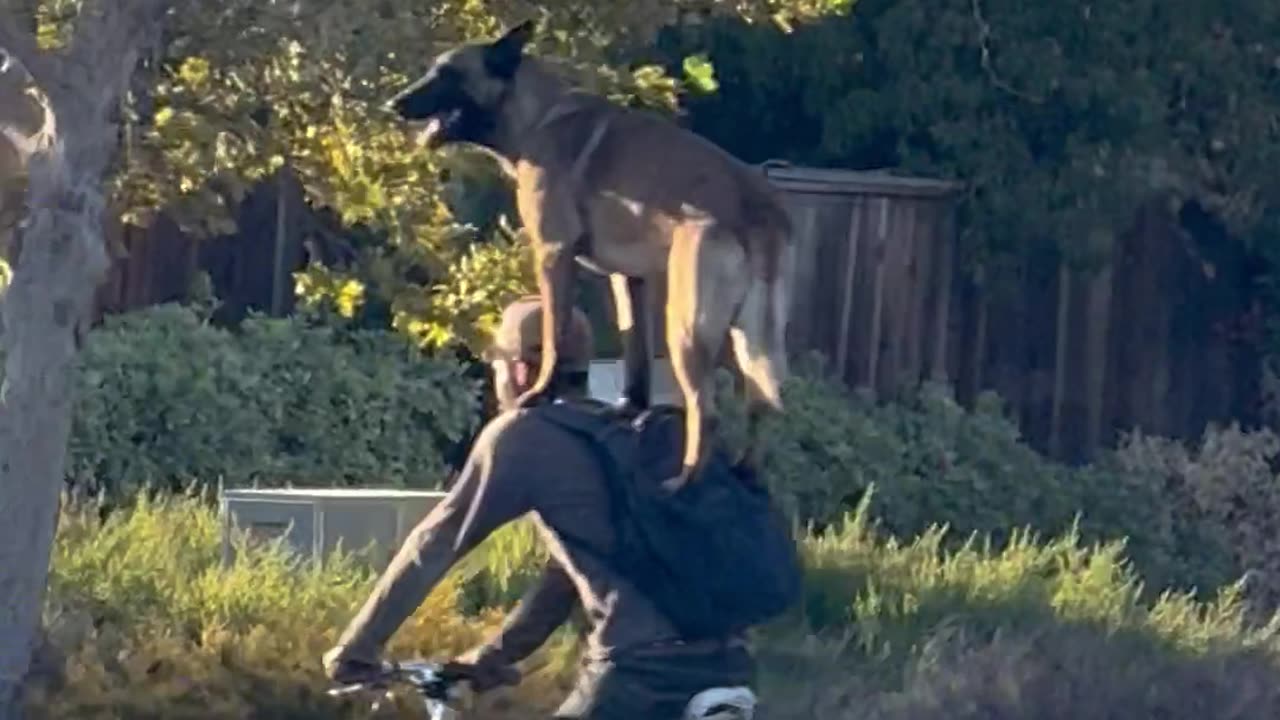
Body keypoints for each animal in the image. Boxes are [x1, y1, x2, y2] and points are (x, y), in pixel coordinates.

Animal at [384, 20, 793, 486]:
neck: (536, 116)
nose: (394, 104)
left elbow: (554, 336)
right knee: (762, 402)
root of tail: (759, 208)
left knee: (707, 411)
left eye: (448, 74)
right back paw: (746, 471)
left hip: (688, 324)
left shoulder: (553, 255)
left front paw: (540, 394)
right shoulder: (629, 280)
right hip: (749, 332)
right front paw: (630, 410)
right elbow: (635, 353)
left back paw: (681, 482)